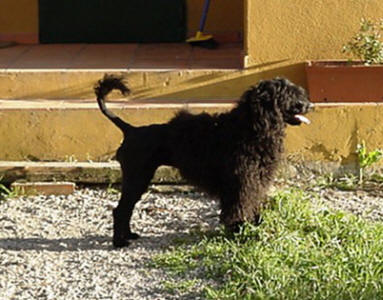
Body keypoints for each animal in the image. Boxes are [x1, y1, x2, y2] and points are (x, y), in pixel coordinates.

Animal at [94, 74, 314, 246]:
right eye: (288, 95)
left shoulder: (253, 180)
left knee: (127, 209)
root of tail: (130, 130)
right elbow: (240, 206)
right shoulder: (241, 182)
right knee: (120, 210)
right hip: (136, 177)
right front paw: (238, 230)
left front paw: (251, 225)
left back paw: (129, 235)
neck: (251, 127)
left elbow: (250, 203)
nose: (310, 105)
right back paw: (119, 242)